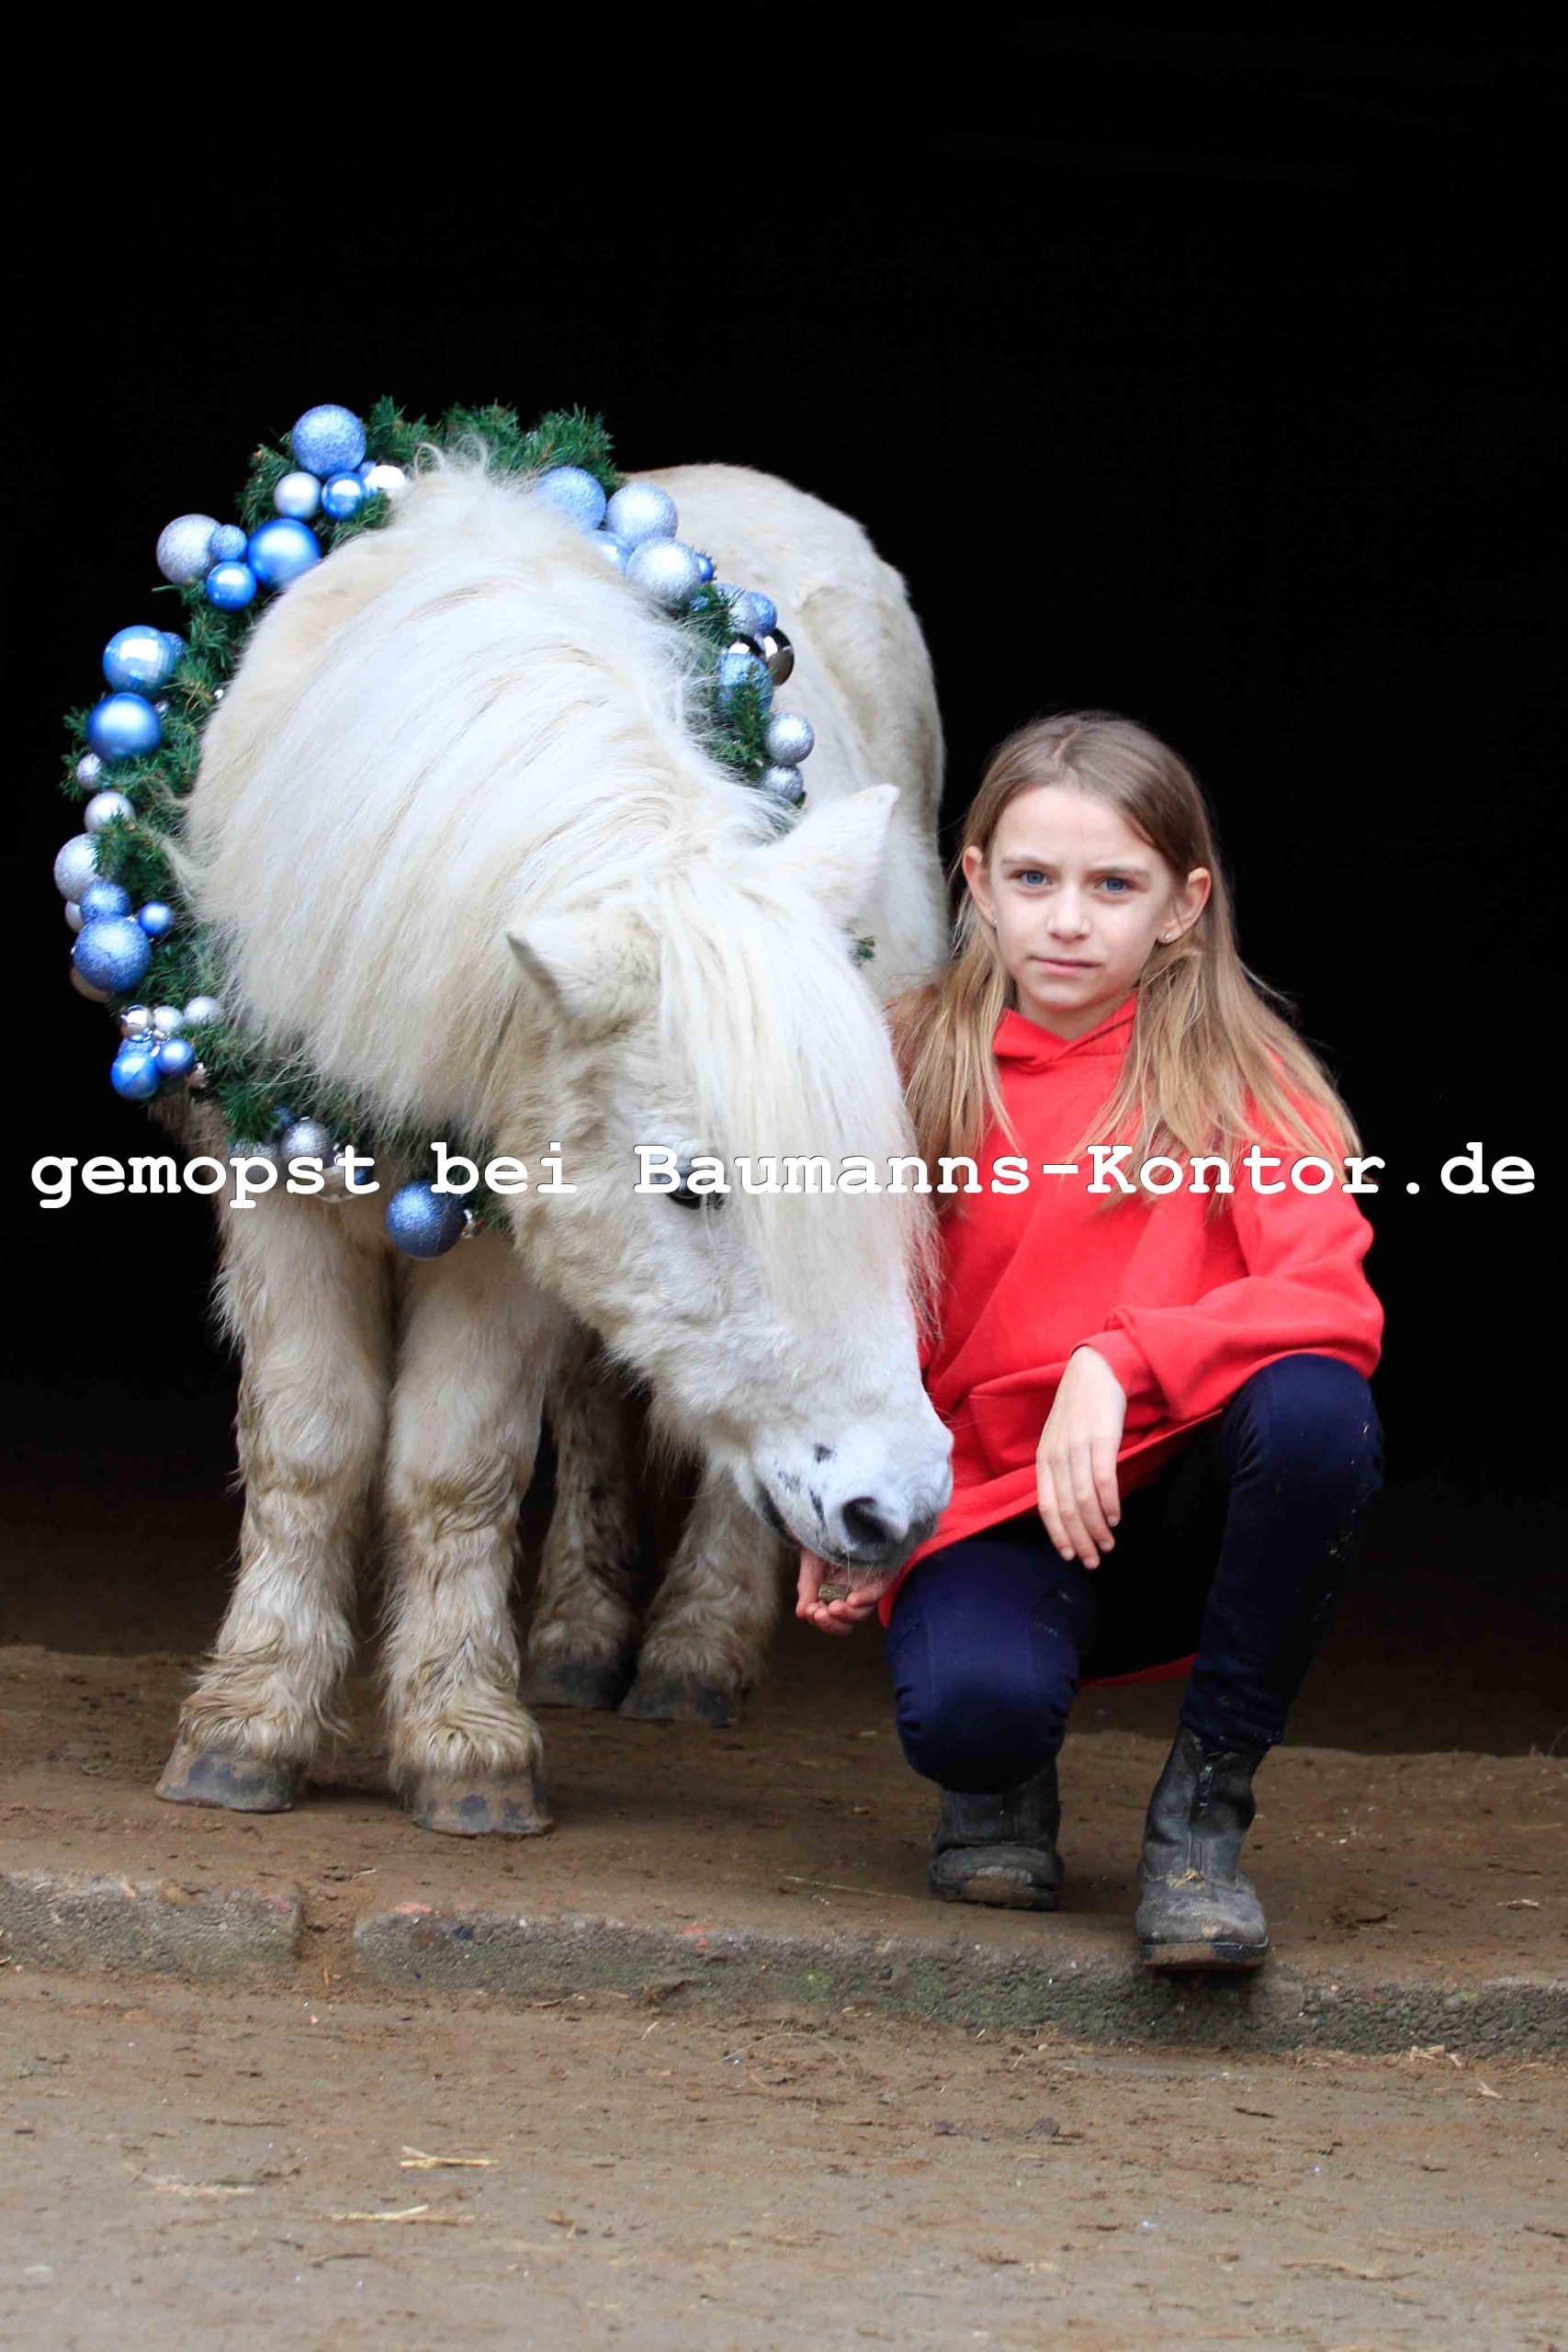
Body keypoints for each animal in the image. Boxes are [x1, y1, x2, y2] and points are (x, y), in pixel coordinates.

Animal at [152, 442, 954, 1835]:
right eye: (690, 1189)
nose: (895, 1506)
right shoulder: (271, 1188)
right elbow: (310, 1446)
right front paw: (247, 1724)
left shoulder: (505, 1236)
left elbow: (453, 1464)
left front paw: (463, 1745)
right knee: (593, 1403)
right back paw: (579, 1640)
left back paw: (691, 1651)